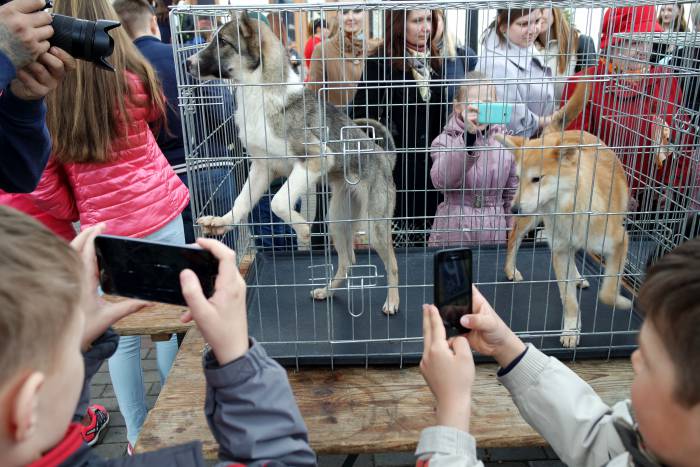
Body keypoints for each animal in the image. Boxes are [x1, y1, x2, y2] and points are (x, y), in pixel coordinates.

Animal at [189, 13, 402, 314]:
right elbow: (242, 201)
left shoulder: (315, 159)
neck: (259, 92)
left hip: (375, 225)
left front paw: (301, 228)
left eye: (223, 42)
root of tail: (385, 156)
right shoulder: (262, 169)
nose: (187, 63)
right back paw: (327, 291)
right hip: (337, 219)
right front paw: (222, 221)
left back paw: (392, 301)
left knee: (392, 264)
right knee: (348, 261)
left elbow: (279, 202)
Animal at [498, 83, 636, 348]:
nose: (513, 209)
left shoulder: (619, 242)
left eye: (537, 179)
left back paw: (578, 277)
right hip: (532, 220)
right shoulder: (559, 250)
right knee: (514, 238)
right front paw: (571, 330)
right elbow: (569, 300)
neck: (569, 210)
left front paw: (621, 301)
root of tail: (556, 135)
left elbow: (608, 290)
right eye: (518, 178)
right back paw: (511, 269)